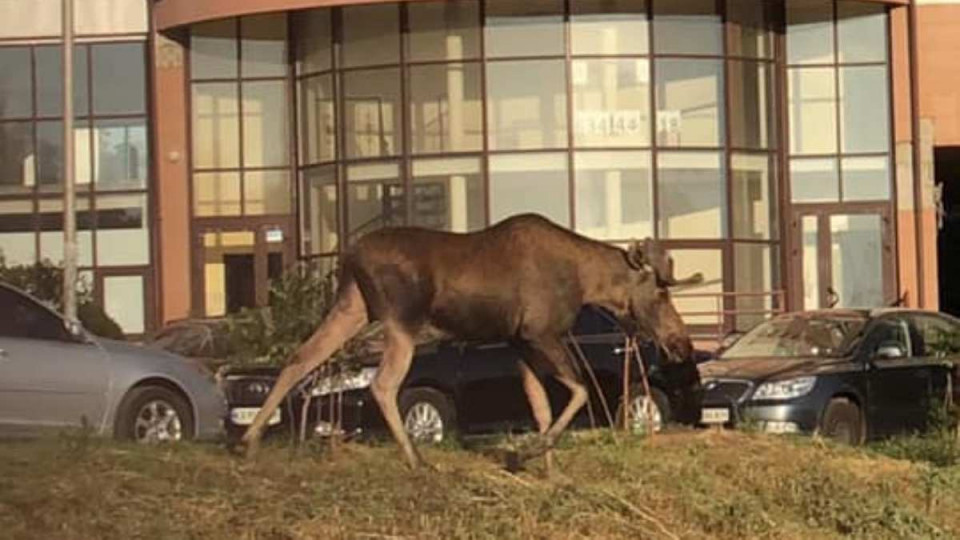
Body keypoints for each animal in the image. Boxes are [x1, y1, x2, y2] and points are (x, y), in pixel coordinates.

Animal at [240, 214, 704, 468]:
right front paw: (529, 453)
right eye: (661, 294)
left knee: (300, 357)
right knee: (384, 383)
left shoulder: (519, 343)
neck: (586, 282)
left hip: (352, 306)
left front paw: (548, 467)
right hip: (401, 320)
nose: (683, 344)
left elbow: (540, 406)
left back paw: (250, 440)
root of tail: (349, 255)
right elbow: (578, 391)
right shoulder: (540, 333)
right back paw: (415, 458)